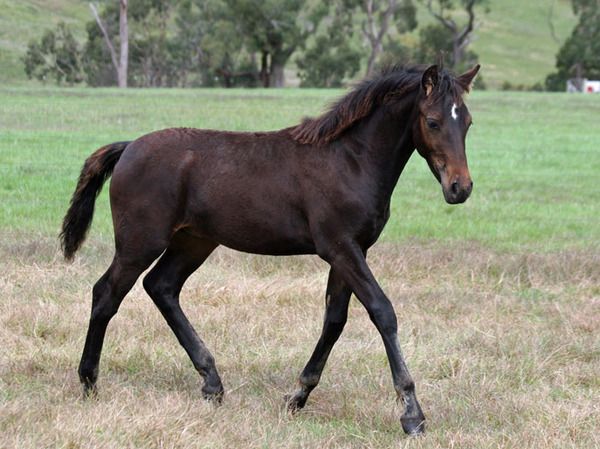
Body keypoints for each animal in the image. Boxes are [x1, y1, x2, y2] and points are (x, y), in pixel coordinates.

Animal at [60, 63, 480, 435]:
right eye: (433, 121)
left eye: (468, 123)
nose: (460, 188)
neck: (350, 160)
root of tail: (129, 146)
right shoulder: (340, 248)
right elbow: (382, 311)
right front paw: (412, 414)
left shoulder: (351, 251)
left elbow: (334, 320)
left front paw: (298, 397)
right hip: (140, 243)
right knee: (107, 293)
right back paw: (89, 382)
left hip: (194, 241)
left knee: (161, 287)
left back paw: (212, 383)